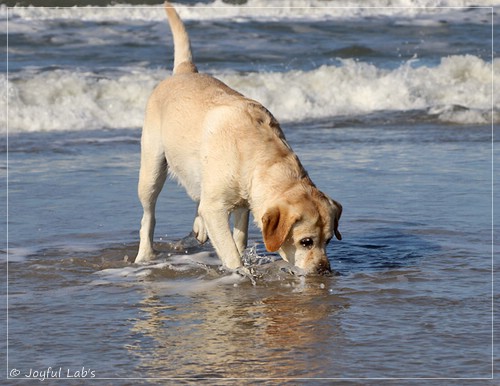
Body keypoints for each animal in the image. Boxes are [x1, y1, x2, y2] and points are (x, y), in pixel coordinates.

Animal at [135, 3, 342, 274]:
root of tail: (184, 70)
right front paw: (239, 271)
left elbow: (239, 238)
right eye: (306, 242)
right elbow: (230, 250)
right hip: (152, 168)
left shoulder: (244, 203)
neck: (257, 156)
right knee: (148, 214)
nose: (324, 270)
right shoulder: (216, 208)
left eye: (328, 240)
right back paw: (144, 255)